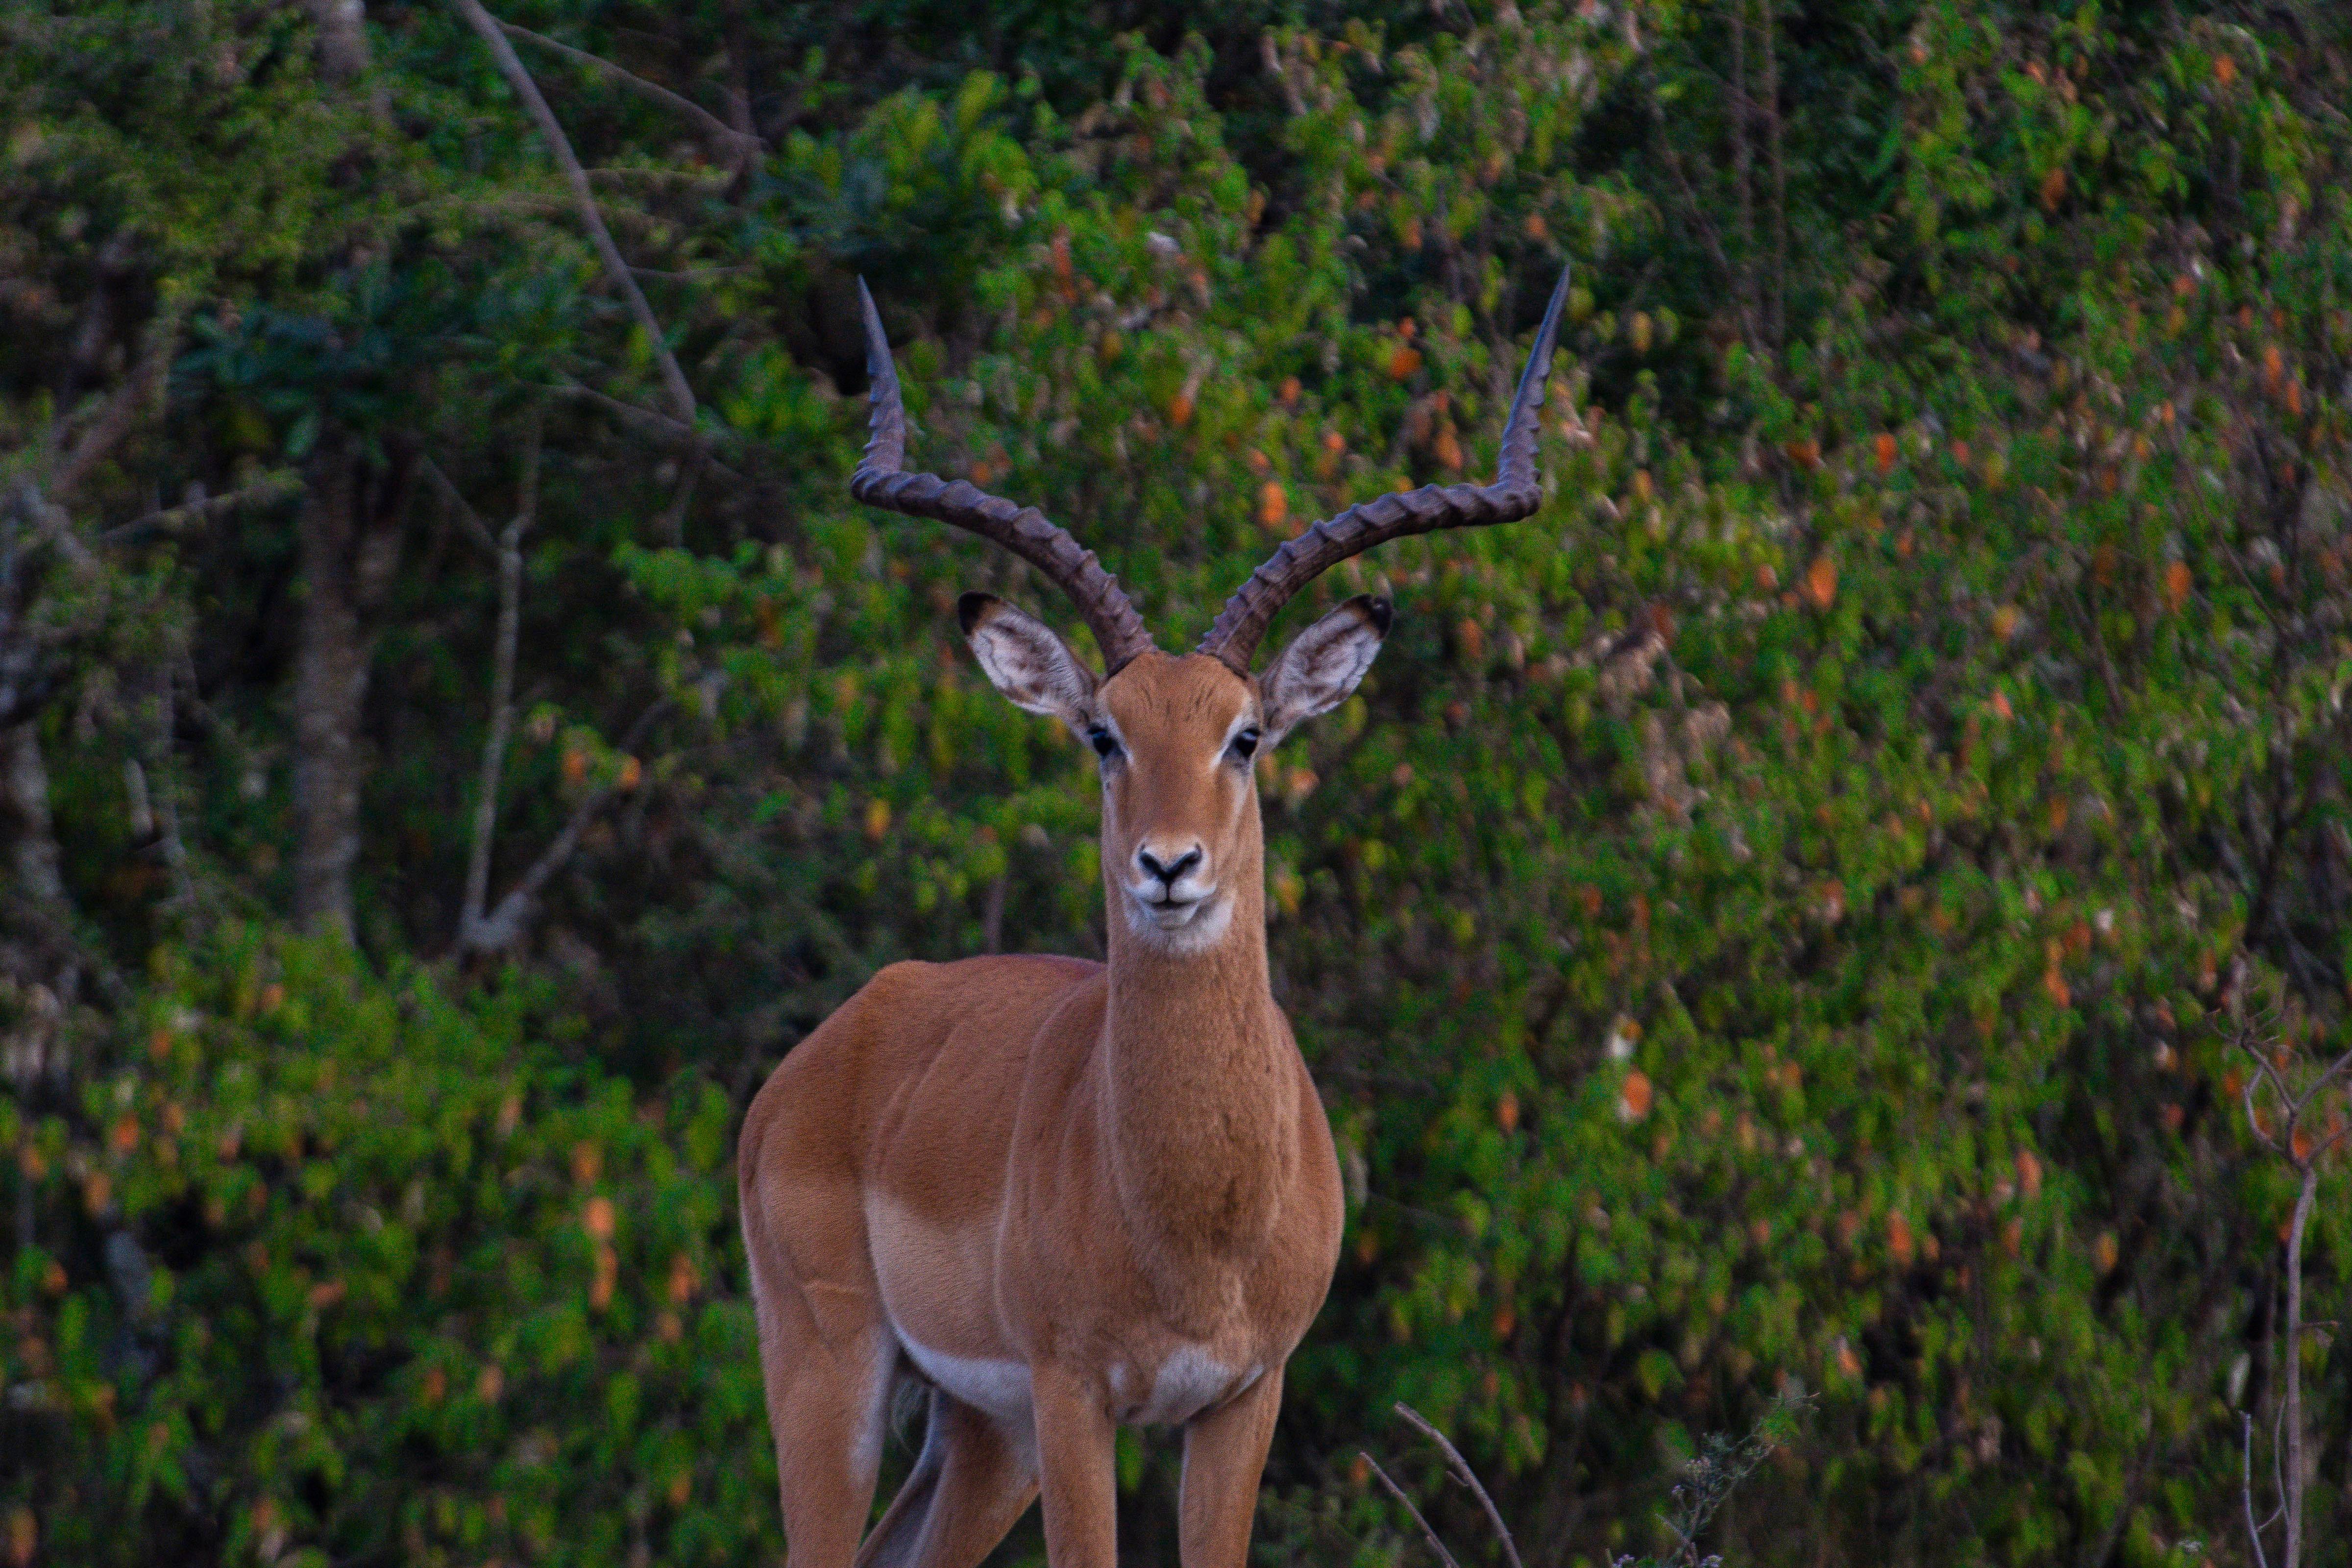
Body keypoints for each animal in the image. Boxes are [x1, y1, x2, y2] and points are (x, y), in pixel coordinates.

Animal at [738, 268, 1569, 1568]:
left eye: (1246, 734)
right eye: (1102, 734)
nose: (1168, 865)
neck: (1194, 1217)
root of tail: (819, 1059)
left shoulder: (1241, 1398)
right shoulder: (1077, 1395)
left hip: (981, 1433)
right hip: (837, 1369)